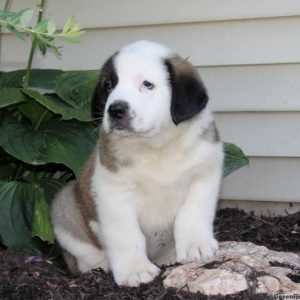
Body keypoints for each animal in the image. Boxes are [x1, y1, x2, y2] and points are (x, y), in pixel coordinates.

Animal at [51, 39, 224, 286]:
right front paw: (134, 269)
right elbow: (127, 235)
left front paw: (196, 245)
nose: (115, 109)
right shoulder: (114, 194)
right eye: (108, 85)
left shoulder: (204, 174)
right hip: (64, 205)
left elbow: (192, 214)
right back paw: (100, 266)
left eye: (147, 84)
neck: (156, 146)